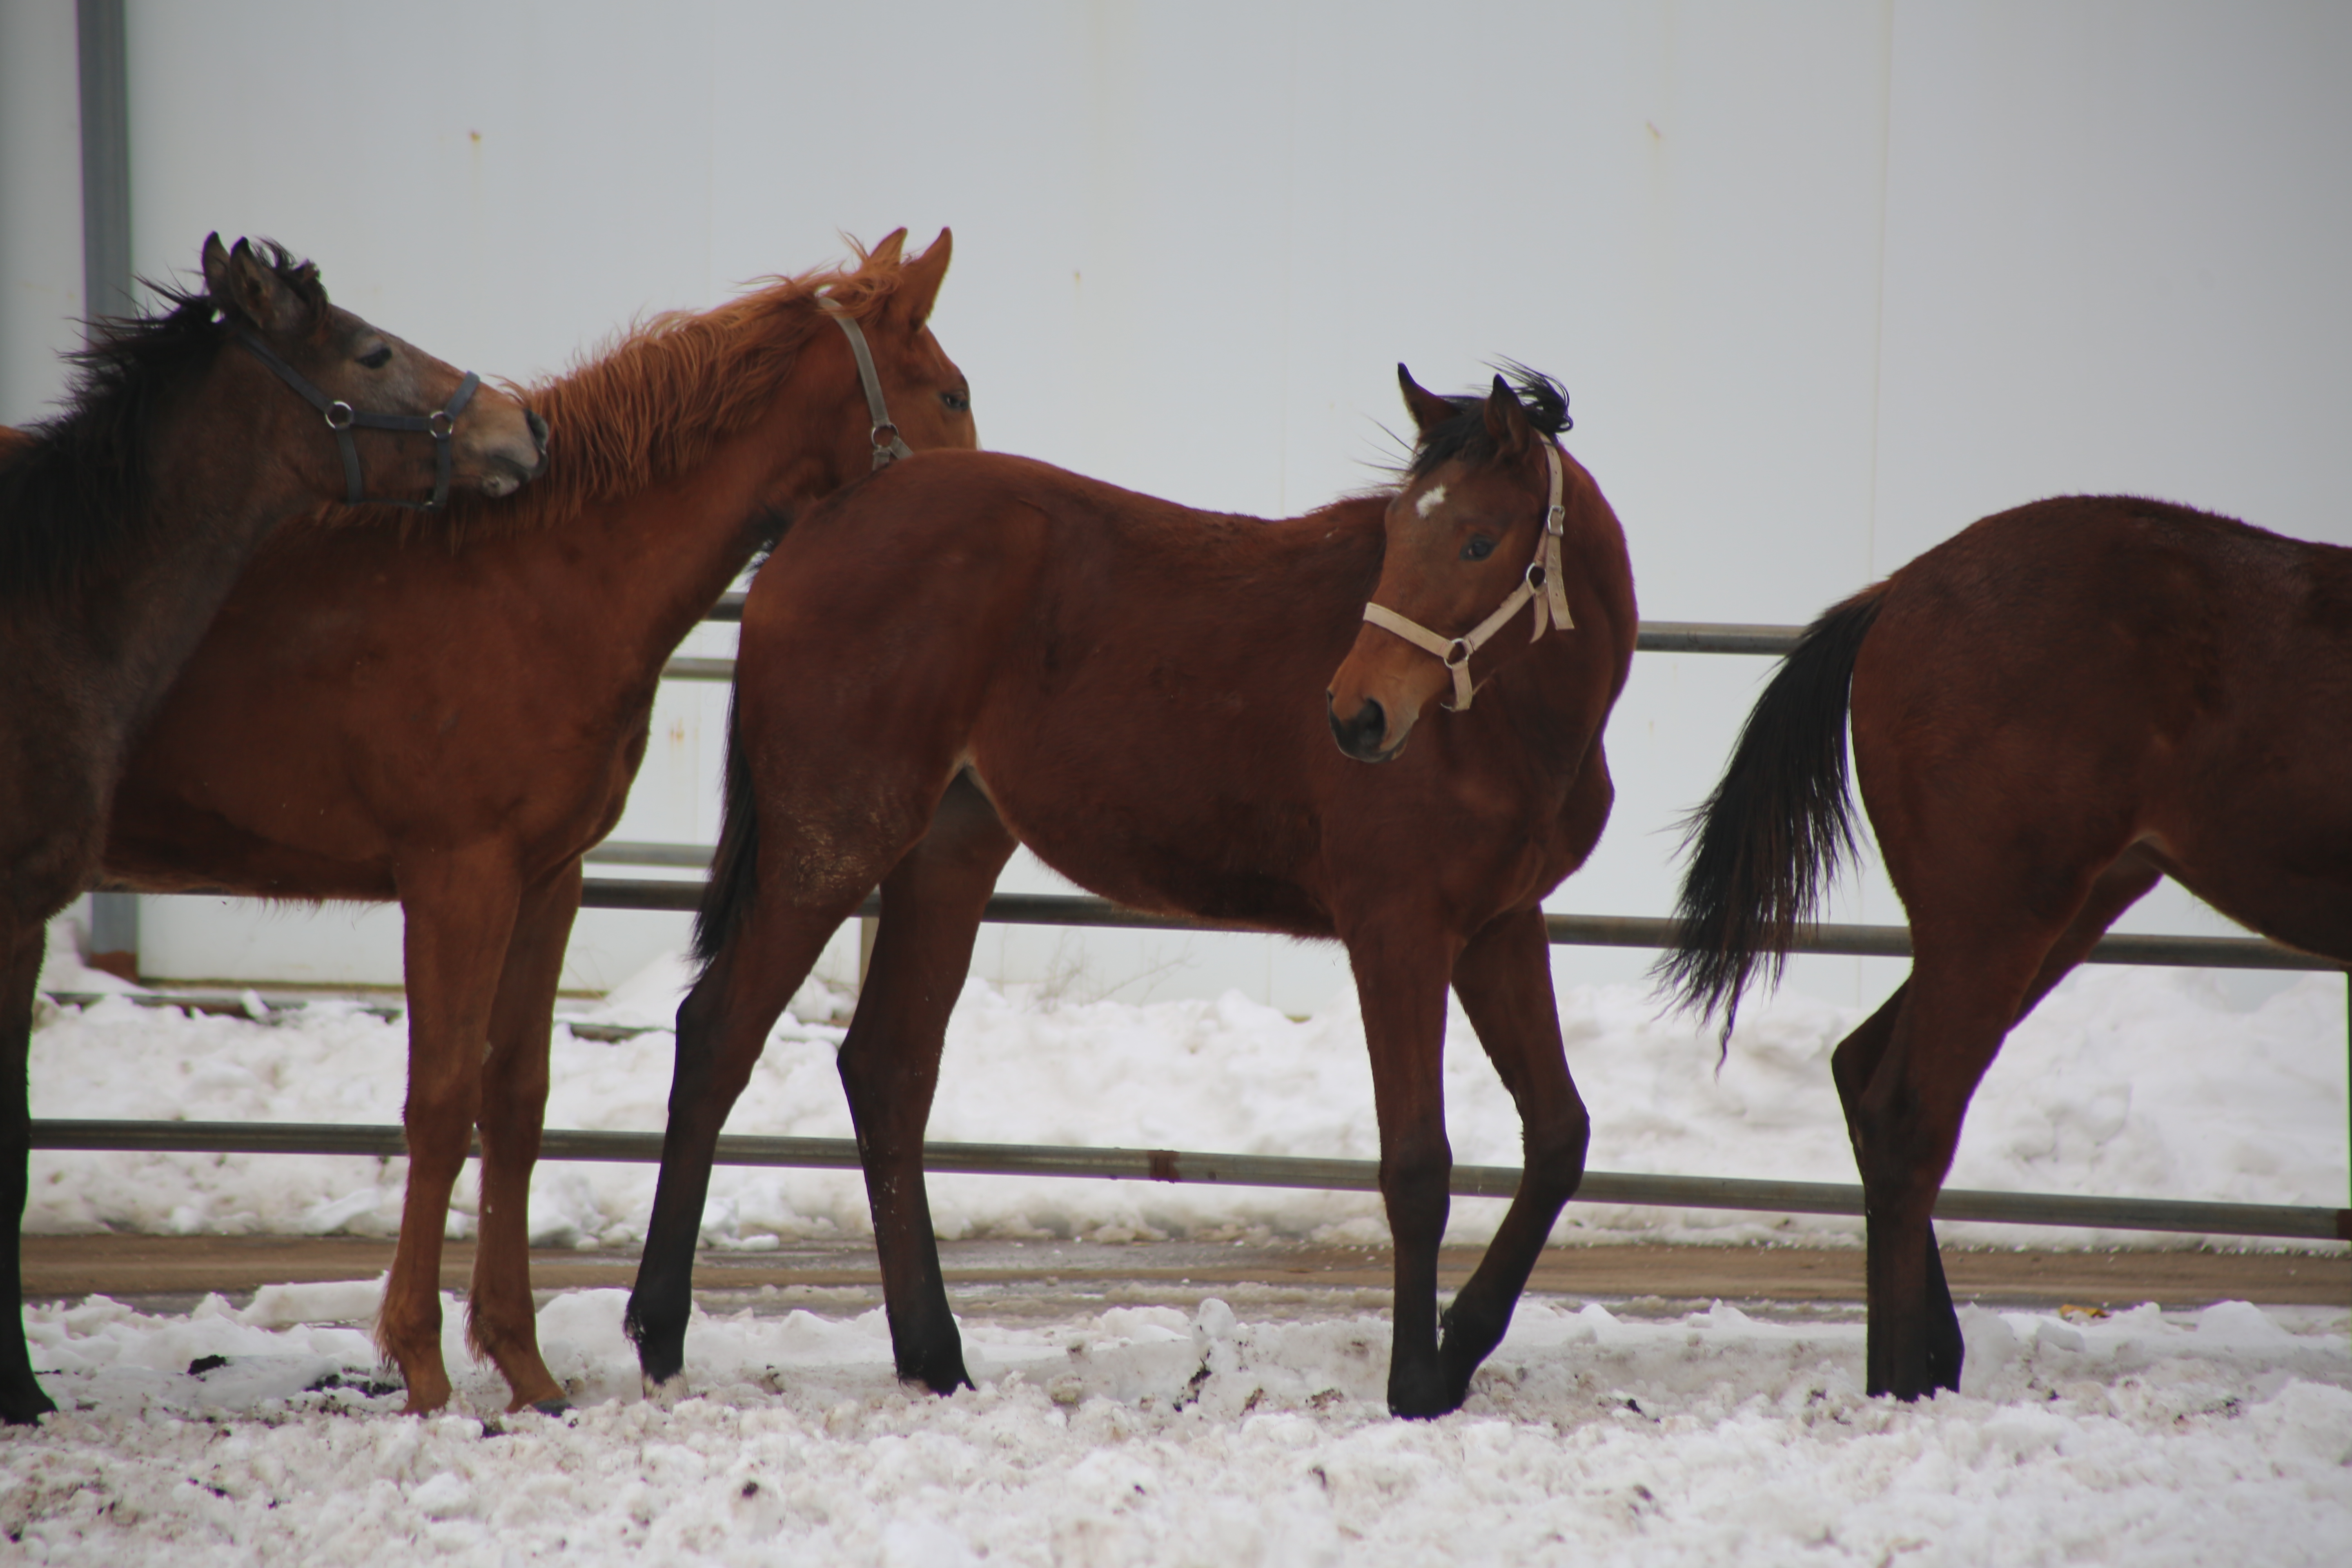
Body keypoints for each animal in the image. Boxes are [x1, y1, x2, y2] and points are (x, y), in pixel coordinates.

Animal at [101, 227, 973, 1420]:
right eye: (951, 392)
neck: (532, 582)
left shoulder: (546, 878)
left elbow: (515, 1100)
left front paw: (522, 1365)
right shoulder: (455, 878)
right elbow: (440, 1099)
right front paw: (422, 1366)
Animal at [626, 369, 1637, 1420]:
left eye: (1478, 540)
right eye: (1397, 534)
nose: (1357, 713)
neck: (1504, 730)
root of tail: (817, 527)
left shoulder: (1499, 929)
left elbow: (1559, 1137)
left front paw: (1463, 1340)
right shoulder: (1397, 933)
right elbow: (1416, 1165)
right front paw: (1415, 1380)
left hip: (946, 852)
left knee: (887, 1069)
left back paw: (935, 1356)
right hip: (830, 844)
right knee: (719, 1035)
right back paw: (662, 1333)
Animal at [1656, 496, 2352, 1401]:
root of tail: (1896, 593)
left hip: (2060, 908)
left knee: (1862, 1064)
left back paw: (1934, 1360)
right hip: (1999, 915)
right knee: (1907, 1116)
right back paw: (1900, 1386)